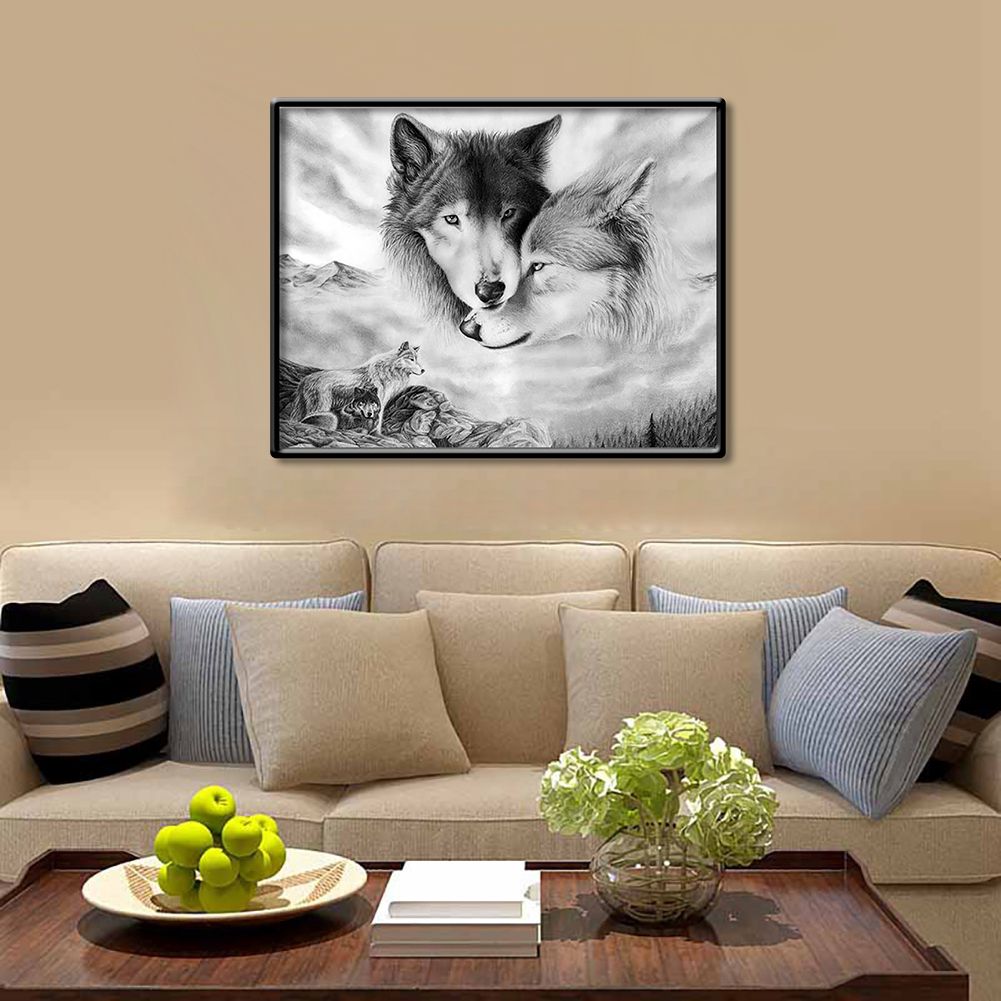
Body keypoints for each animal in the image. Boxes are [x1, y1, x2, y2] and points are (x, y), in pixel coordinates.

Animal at [284, 341, 425, 436]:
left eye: (417, 359)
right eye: (411, 359)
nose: (423, 370)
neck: (389, 369)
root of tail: (305, 380)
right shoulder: (379, 401)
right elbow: (378, 422)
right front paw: (377, 435)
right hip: (321, 407)